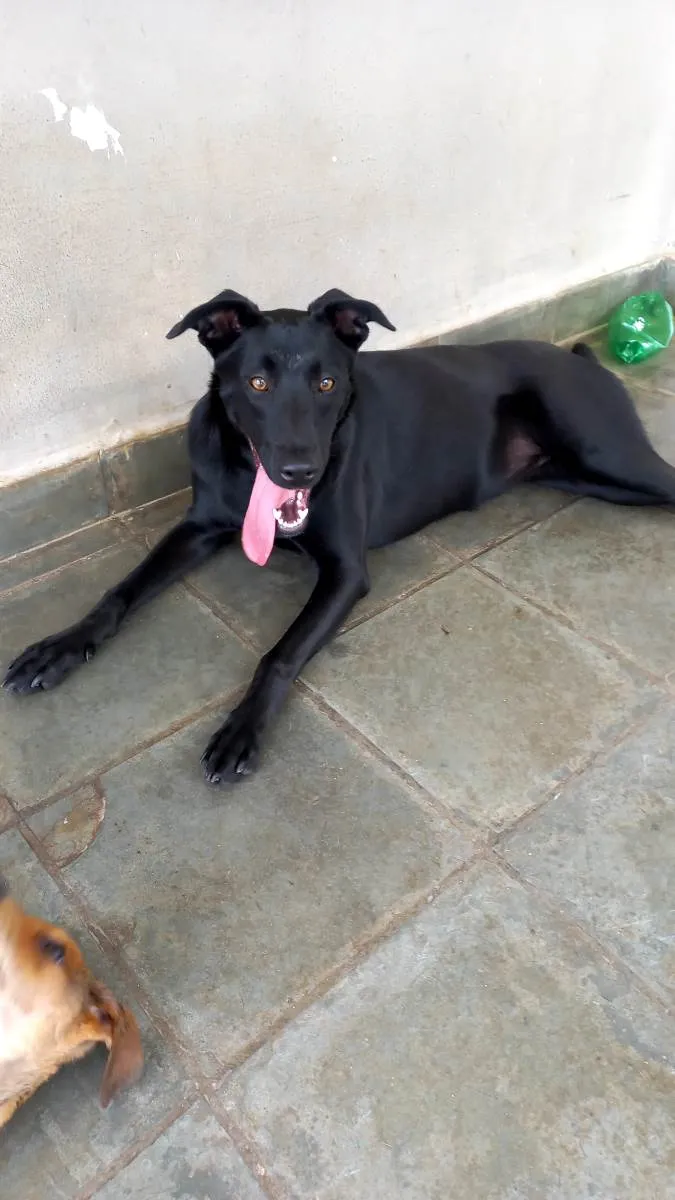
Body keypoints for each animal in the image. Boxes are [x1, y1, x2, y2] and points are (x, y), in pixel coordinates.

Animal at [4, 287, 675, 783]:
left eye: (327, 383)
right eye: (258, 384)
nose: (300, 471)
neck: (248, 474)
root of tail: (579, 357)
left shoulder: (346, 571)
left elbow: (279, 654)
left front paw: (242, 728)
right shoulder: (198, 528)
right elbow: (120, 591)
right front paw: (61, 646)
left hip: (608, 456)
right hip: (580, 475)